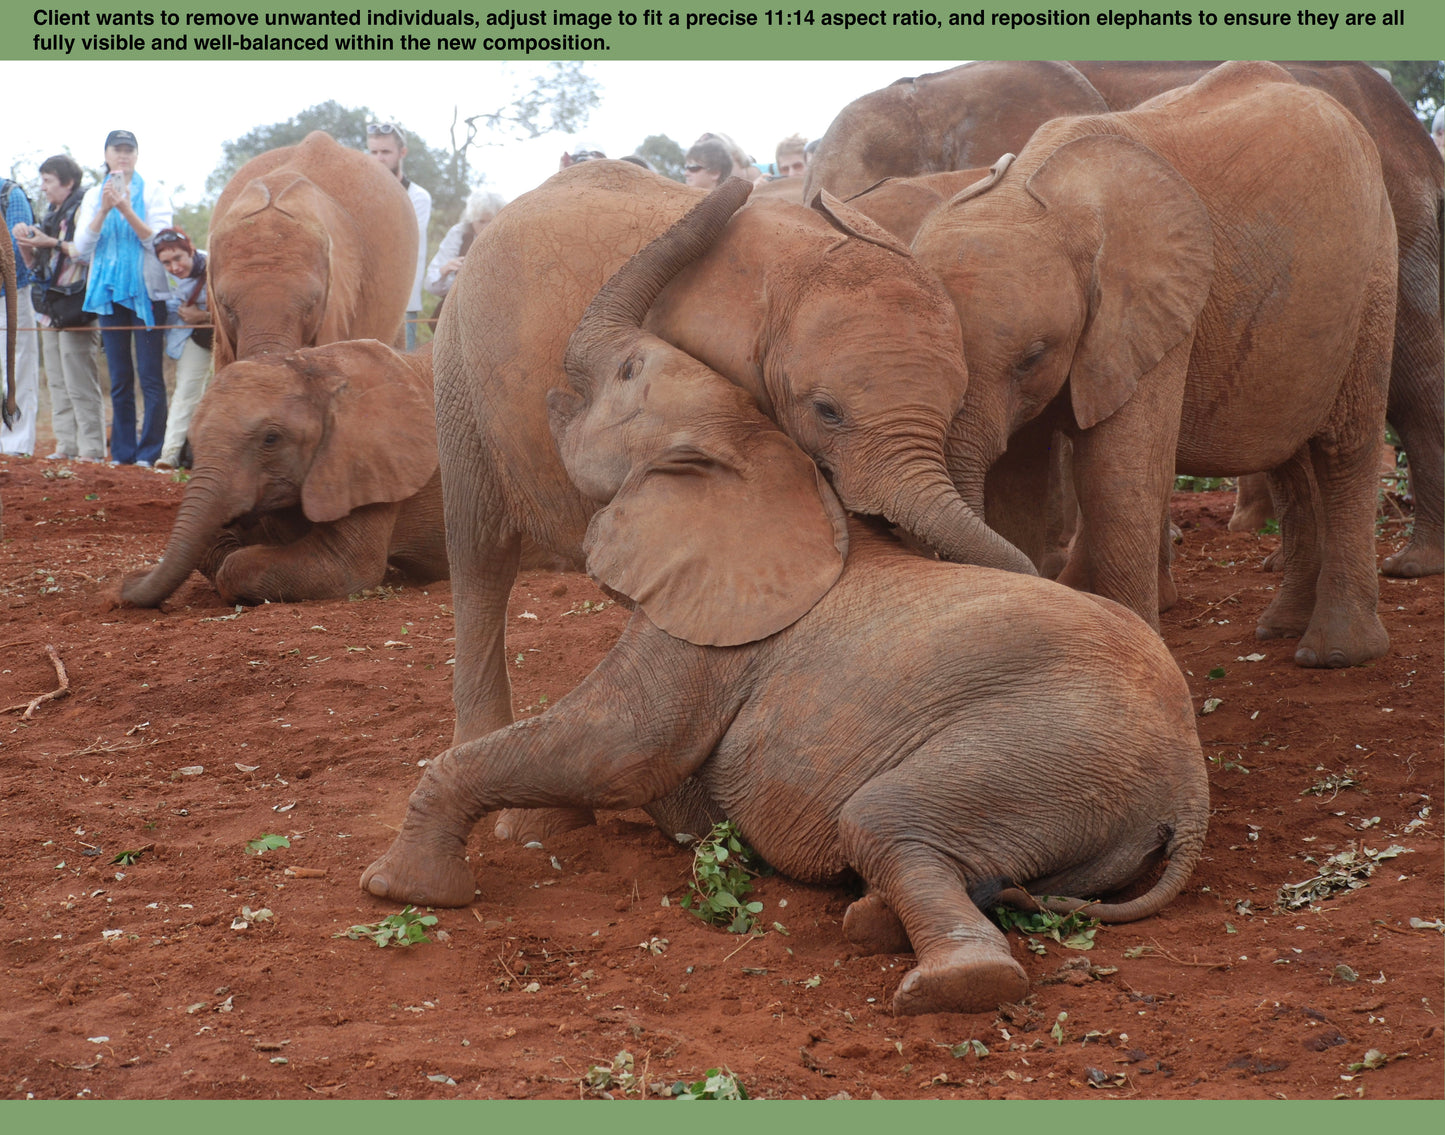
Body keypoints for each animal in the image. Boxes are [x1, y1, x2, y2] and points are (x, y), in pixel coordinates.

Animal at [433, 164, 1034, 844]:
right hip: (457, 375)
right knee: (479, 557)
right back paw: (529, 829)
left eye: (955, 409)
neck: (791, 272)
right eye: (827, 411)